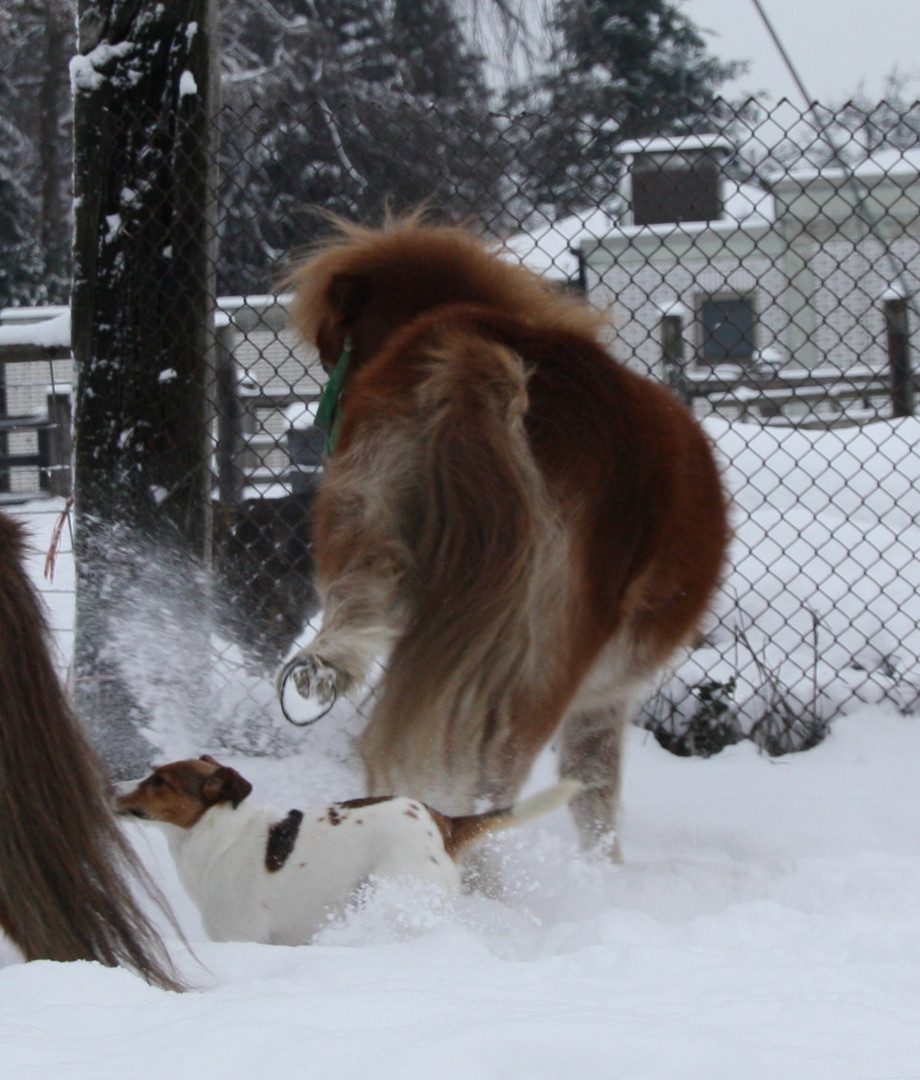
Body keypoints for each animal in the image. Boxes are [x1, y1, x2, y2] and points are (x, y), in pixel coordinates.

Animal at [113, 751, 574, 946]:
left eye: (159, 781)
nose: (110, 787)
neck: (219, 834)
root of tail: (442, 821)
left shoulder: (242, 937)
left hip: (400, 895)